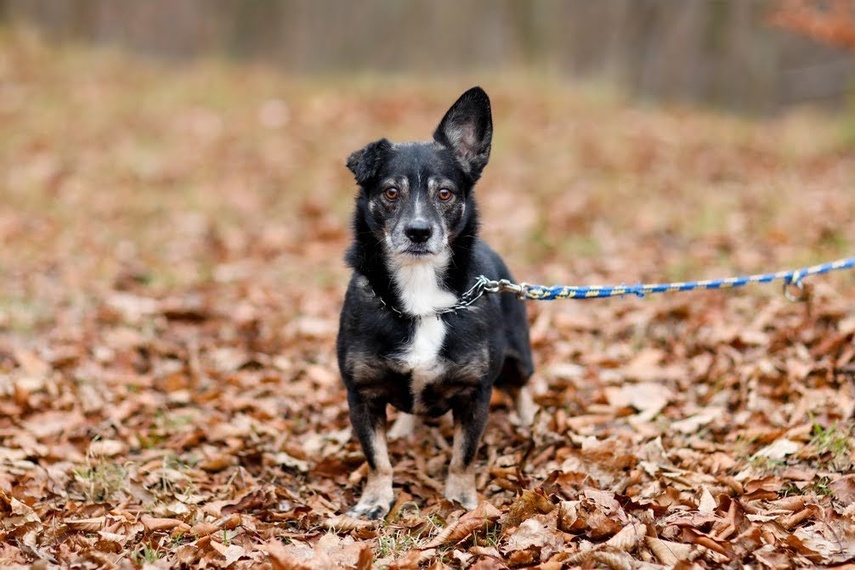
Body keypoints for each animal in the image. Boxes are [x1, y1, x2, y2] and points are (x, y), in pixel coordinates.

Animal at [336, 86, 532, 516]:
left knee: (521, 385)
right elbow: (377, 457)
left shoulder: (476, 393)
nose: (418, 232)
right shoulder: (361, 393)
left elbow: (464, 454)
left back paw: (528, 419)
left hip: (520, 357)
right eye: (391, 192)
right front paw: (376, 499)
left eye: (445, 193)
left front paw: (461, 497)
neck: (420, 292)